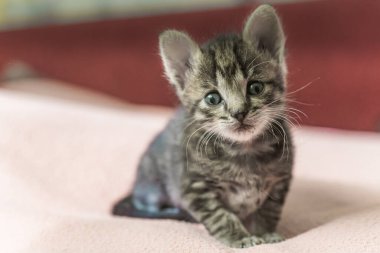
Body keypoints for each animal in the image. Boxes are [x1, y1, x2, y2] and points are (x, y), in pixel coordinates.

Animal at [113, 4, 294, 248]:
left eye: (255, 88)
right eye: (213, 98)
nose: (239, 113)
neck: (243, 150)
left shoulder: (280, 180)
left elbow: (269, 210)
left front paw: (266, 233)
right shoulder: (194, 187)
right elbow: (220, 216)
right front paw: (240, 237)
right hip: (152, 183)